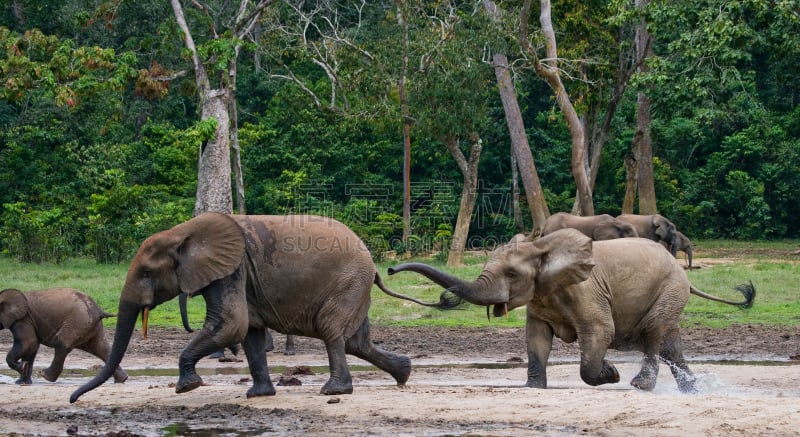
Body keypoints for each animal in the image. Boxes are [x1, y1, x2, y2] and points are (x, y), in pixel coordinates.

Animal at [0, 288, 128, 384]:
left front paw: (21, 368)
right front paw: (22, 382)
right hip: (89, 324)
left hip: (78, 322)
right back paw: (122, 379)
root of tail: (99, 310)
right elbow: (33, 346)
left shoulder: (22, 319)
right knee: (101, 348)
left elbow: (29, 342)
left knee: (61, 342)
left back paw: (45, 375)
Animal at [73, 212, 438, 402]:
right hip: (354, 287)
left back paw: (334, 390)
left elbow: (231, 324)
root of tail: (374, 264)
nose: (73, 399)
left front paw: (186, 387)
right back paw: (404, 373)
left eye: (147, 273)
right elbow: (248, 331)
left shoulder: (232, 269)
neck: (183, 232)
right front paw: (258, 395)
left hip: (348, 283)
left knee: (332, 332)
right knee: (355, 341)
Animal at [390, 228, 752, 392]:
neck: (542, 249)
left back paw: (640, 385)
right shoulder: (539, 300)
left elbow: (599, 333)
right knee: (670, 345)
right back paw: (693, 390)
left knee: (654, 336)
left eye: (512, 274)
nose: (391, 269)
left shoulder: (587, 291)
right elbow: (536, 340)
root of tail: (685, 276)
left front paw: (610, 374)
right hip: (671, 294)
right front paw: (534, 389)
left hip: (669, 290)